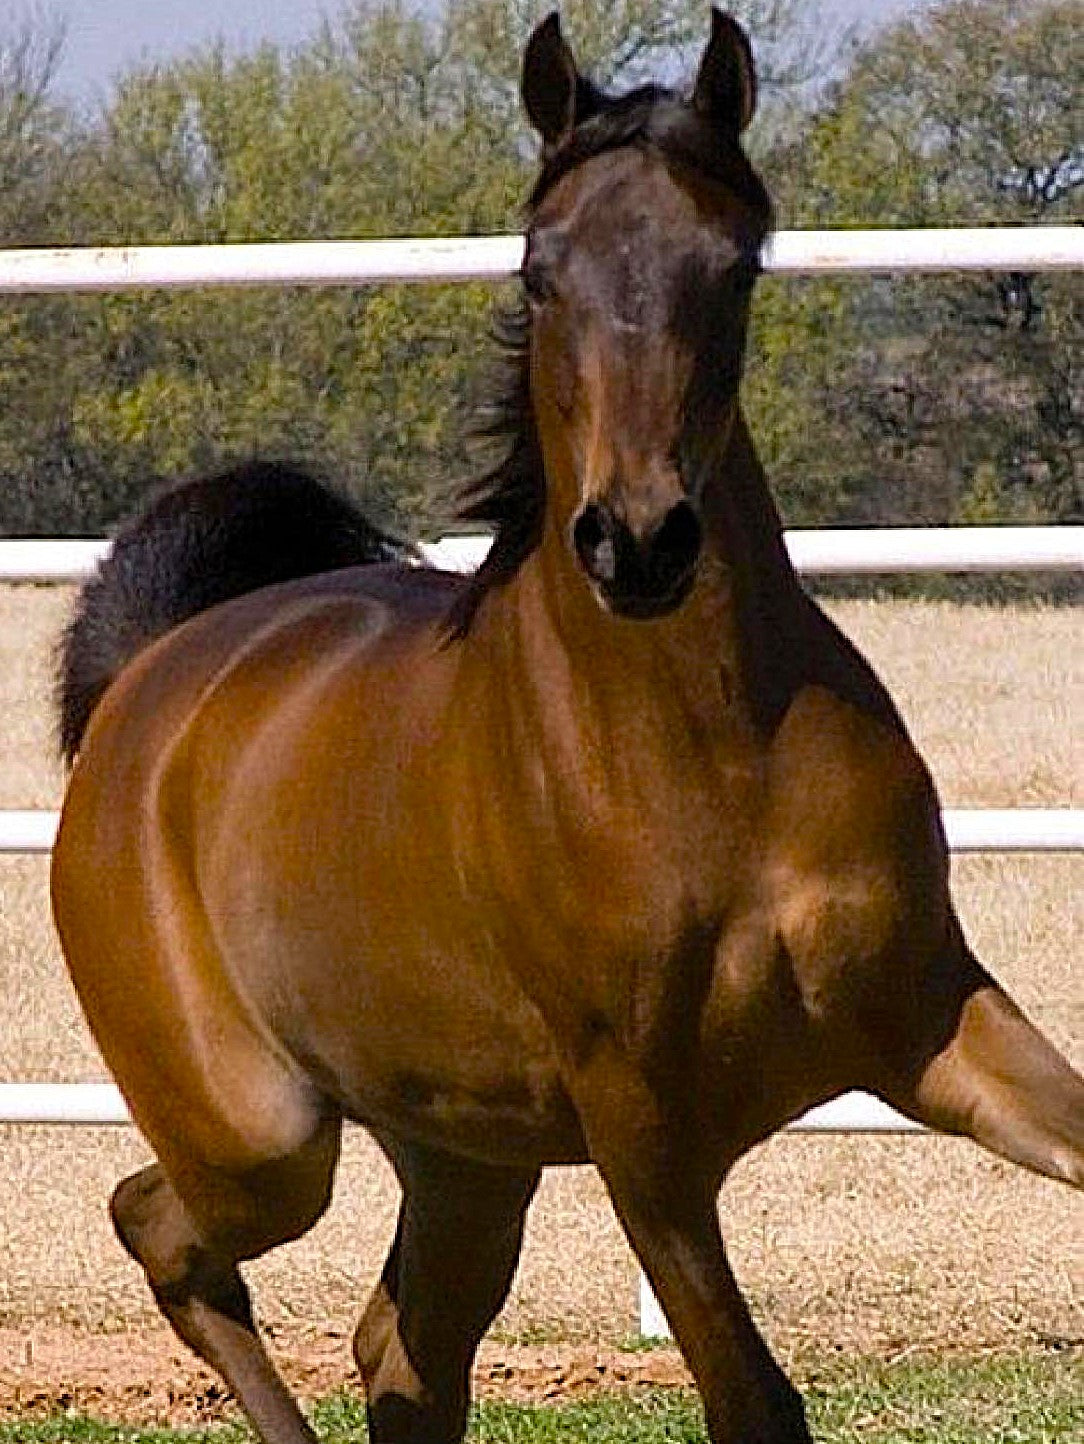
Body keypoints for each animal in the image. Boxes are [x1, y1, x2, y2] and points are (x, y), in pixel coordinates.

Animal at [50, 12, 1083, 1443]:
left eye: (734, 265)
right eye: (539, 271)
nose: (637, 541)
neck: (708, 755)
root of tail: (149, 675)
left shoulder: (926, 1016)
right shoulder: (641, 1127)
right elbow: (751, 1398)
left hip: (463, 1155)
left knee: (399, 1349)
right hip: (261, 1135)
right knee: (164, 1227)